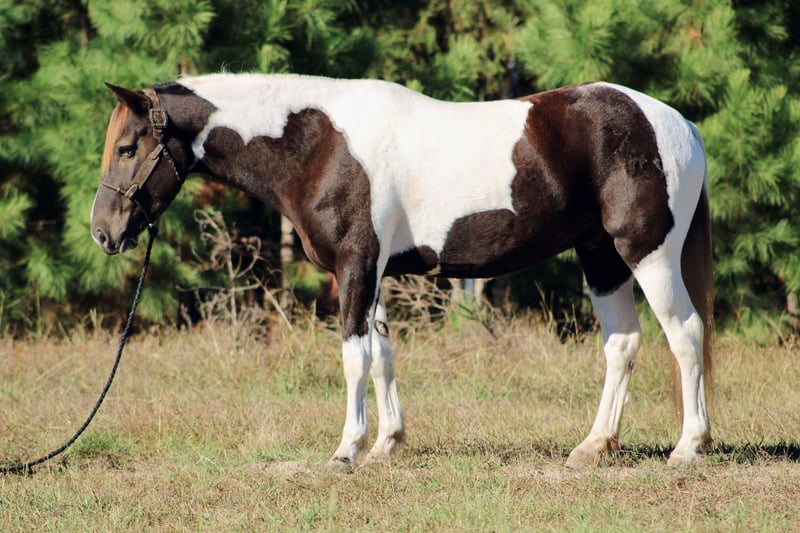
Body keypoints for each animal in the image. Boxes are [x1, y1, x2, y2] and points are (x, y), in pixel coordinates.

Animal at [90, 73, 712, 468]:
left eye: (127, 148)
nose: (103, 232)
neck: (320, 144)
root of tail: (678, 124)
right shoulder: (371, 273)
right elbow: (382, 357)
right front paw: (387, 443)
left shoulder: (355, 265)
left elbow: (354, 359)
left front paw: (346, 450)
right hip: (601, 256)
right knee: (622, 343)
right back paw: (593, 447)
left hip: (647, 253)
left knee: (685, 335)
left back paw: (688, 447)